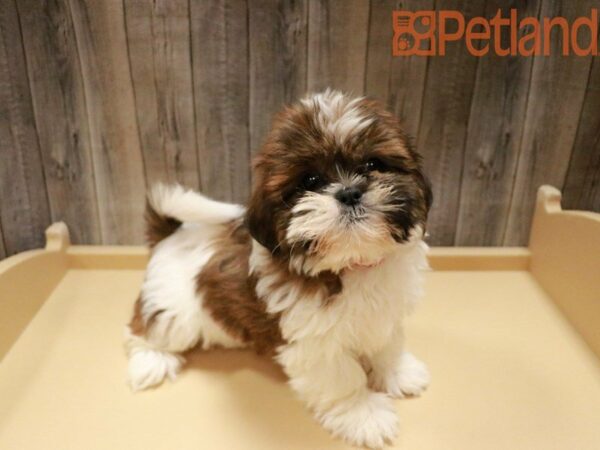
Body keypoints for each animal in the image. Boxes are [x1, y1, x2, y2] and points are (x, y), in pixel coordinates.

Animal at [125, 89, 432, 448]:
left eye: (373, 164)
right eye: (310, 180)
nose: (349, 192)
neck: (350, 263)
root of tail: (171, 234)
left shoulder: (386, 313)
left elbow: (388, 344)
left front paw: (399, 373)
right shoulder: (315, 343)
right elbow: (343, 379)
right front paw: (364, 415)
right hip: (175, 313)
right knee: (145, 330)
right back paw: (150, 360)